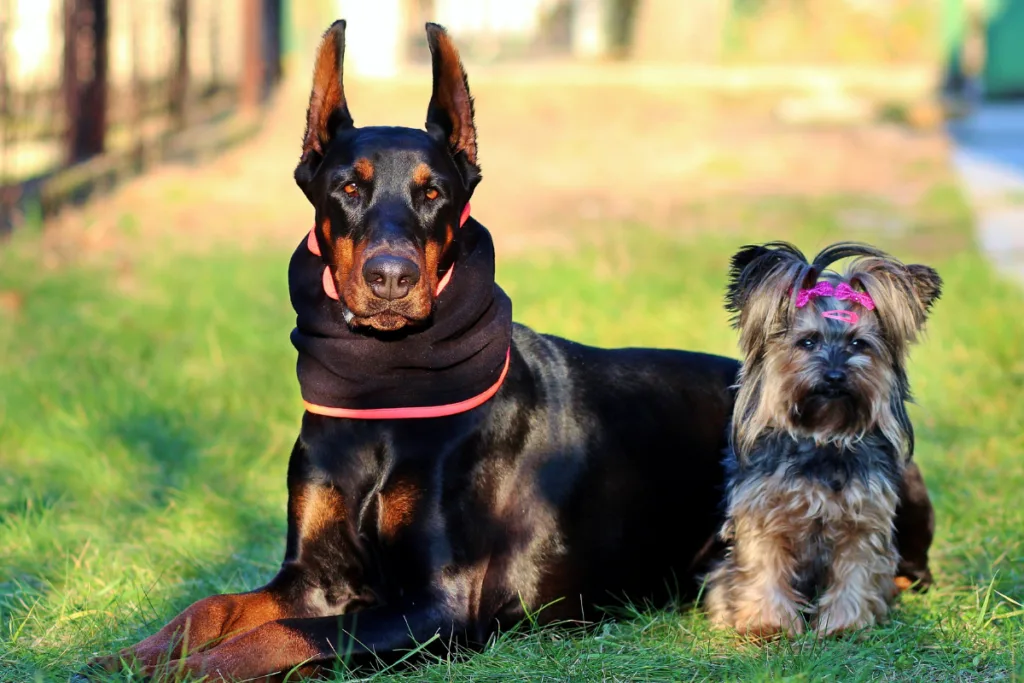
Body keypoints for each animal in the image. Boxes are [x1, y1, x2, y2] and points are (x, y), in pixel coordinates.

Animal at [704, 241, 942, 634]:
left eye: (859, 344)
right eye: (807, 342)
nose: (834, 375)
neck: (823, 436)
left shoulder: (864, 520)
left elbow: (856, 571)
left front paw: (844, 625)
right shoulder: (761, 513)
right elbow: (761, 567)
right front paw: (767, 624)